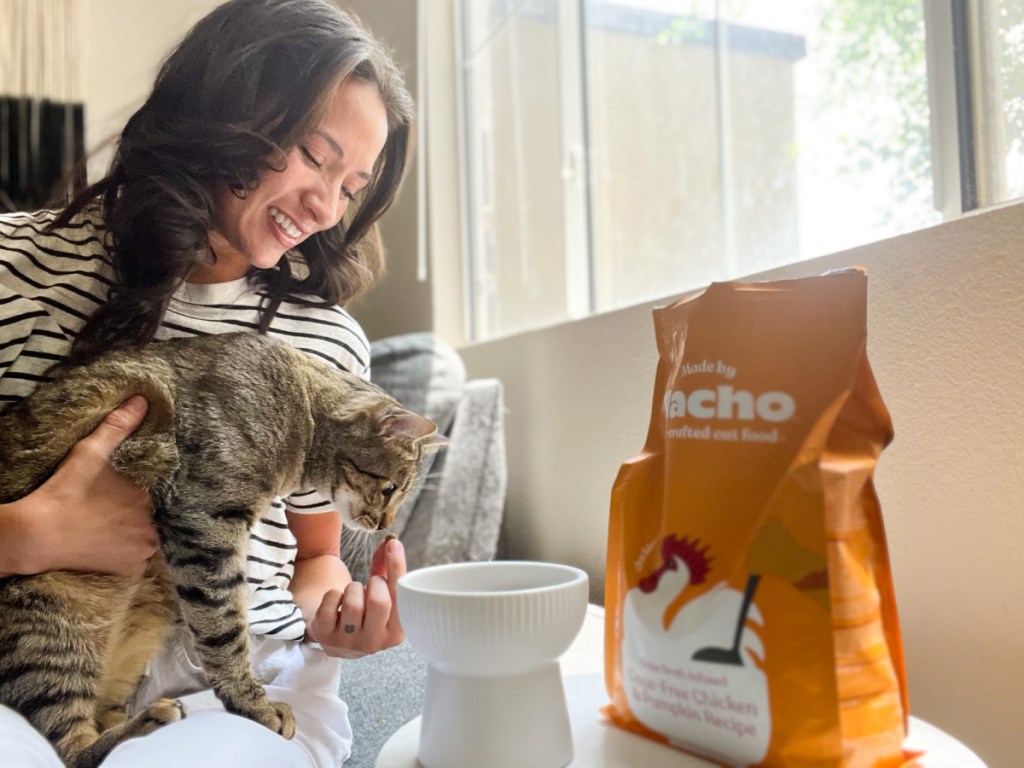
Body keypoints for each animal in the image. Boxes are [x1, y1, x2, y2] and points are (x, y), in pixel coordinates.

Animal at [0, 335, 436, 768]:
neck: (302, 408)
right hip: (50, 628)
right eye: (390, 489)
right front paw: (254, 705)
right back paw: (149, 721)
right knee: (69, 749)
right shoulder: (205, 522)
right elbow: (225, 628)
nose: (384, 525)